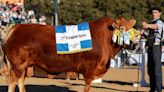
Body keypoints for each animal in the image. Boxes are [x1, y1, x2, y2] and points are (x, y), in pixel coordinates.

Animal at [2, 16, 136, 91]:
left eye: (133, 30)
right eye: (122, 29)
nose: (134, 44)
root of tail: (16, 28)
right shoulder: (90, 69)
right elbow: (87, 87)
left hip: (23, 66)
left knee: (20, 81)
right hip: (17, 65)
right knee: (13, 82)